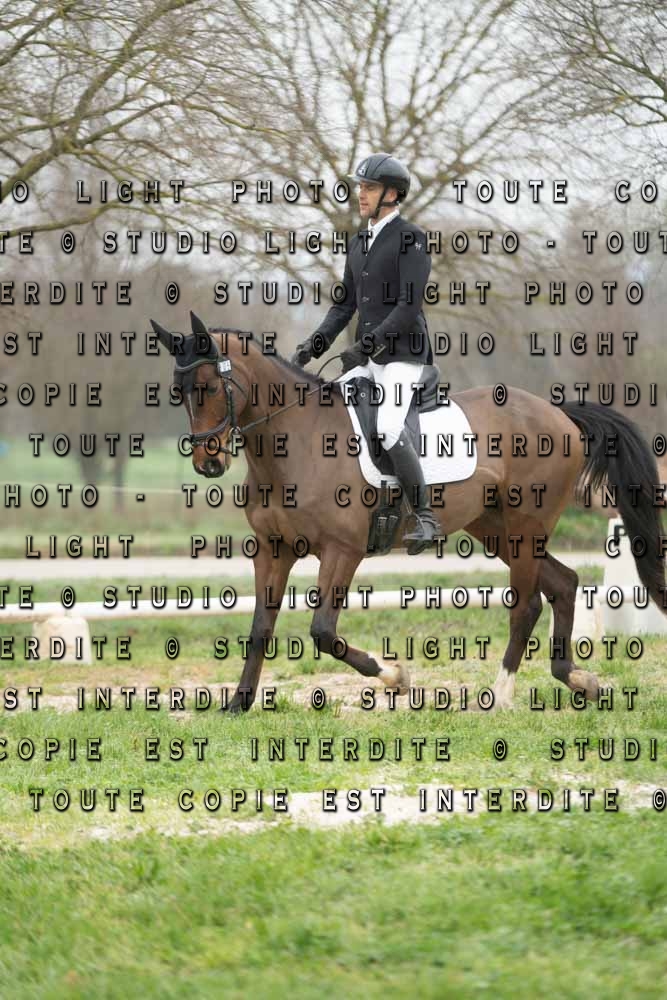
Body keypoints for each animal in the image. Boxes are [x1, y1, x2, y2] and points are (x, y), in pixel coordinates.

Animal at [151, 312, 666, 713]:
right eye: (179, 391)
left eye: (209, 386)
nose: (208, 462)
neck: (293, 442)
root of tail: (558, 413)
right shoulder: (272, 549)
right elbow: (260, 626)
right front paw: (238, 703)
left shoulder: (342, 551)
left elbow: (322, 631)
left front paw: (396, 677)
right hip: (494, 526)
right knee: (563, 584)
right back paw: (580, 681)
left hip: (526, 524)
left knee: (527, 605)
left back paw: (500, 697)